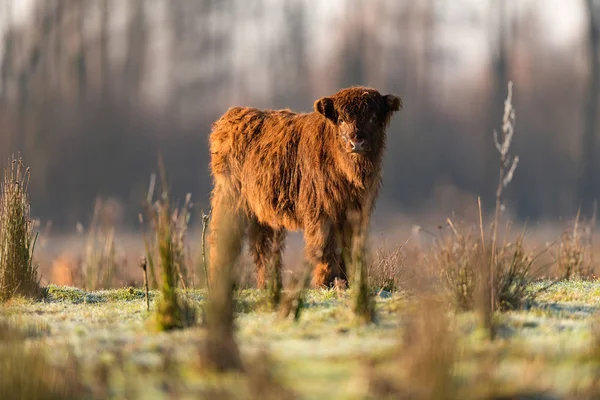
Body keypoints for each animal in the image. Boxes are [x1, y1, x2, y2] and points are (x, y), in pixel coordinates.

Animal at [209, 86, 400, 288]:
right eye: (341, 120)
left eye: (373, 118)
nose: (356, 143)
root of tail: (233, 114)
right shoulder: (320, 211)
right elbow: (324, 247)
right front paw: (324, 282)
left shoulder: (355, 212)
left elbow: (347, 247)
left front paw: (345, 281)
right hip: (229, 197)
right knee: (222, 238)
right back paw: (218, 280)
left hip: (261, 209)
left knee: (263, 245)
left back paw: (269, 284)